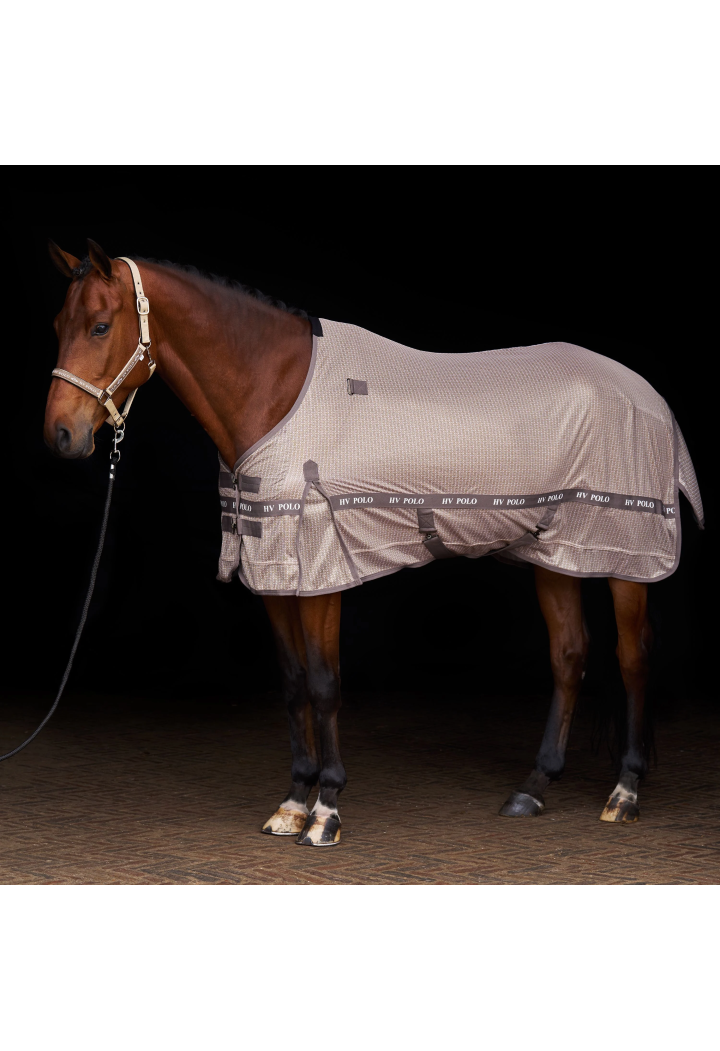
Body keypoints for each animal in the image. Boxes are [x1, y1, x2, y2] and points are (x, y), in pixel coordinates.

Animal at [44, 239, 703, 847]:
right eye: (57, 326)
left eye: (100, 326)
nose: (61, 435)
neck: (277, 392)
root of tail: (649, 396)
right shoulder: (274, 572)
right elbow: (292, 684)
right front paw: (292, 802)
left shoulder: (321, 570)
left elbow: (324, 683)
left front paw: (326, 810)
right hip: (555, 553)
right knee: (568, 655)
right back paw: (533, 788)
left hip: (625, 557)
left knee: (633, 658)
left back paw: (624, 792)